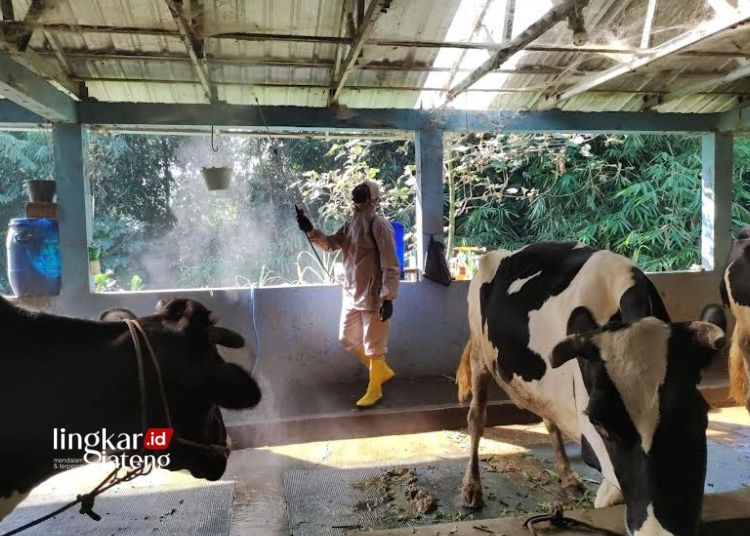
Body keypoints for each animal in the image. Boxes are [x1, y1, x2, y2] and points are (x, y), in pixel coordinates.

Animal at [458, 242, 728, 536]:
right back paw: (472, 487)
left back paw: (568, 478)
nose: (659, 531)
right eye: (600, 423)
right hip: (479, 352)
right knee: (476, 418)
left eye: (699, 415)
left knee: (549, 418)